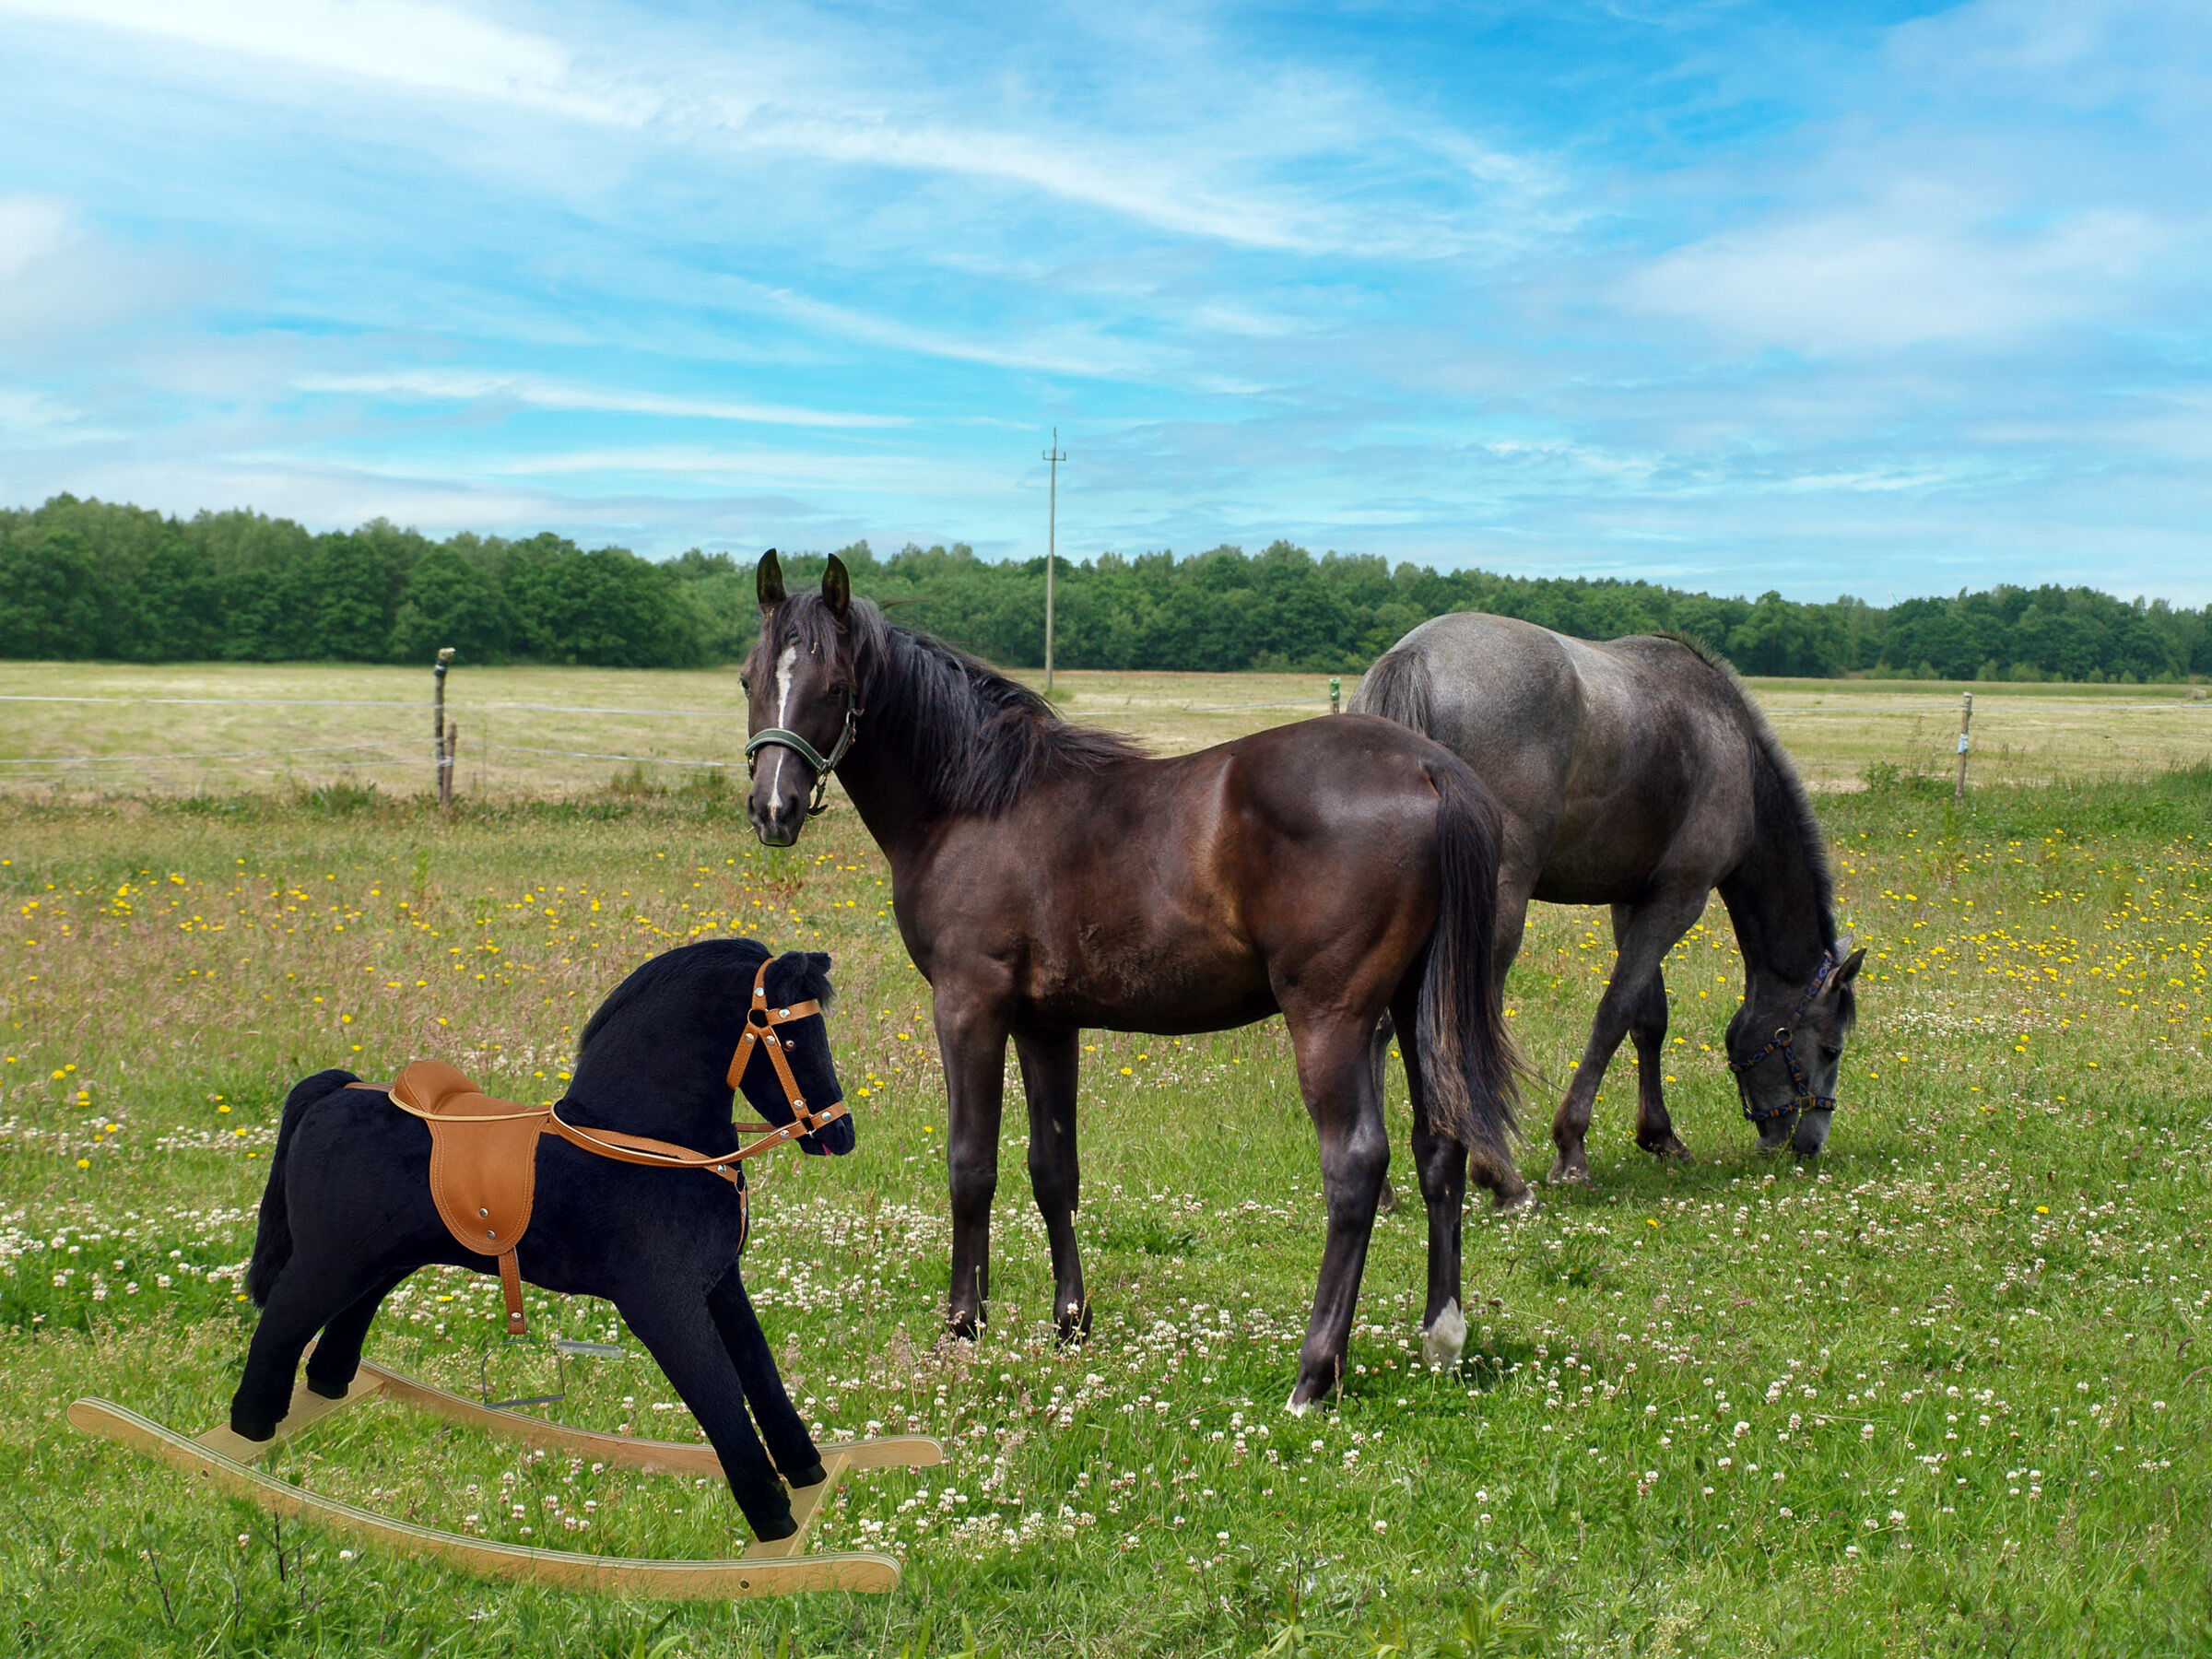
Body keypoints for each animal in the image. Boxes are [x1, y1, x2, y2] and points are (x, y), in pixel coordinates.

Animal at [229, 938, 856, 1542]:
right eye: (791, 1037)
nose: (840, 1135)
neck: (646, 1141)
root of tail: (339, 1090)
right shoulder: (662, 1305)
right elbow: (720, 1395)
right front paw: (773, 1520)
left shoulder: (720, 1284)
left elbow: (760, 1370)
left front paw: (807, 1471)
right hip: (329, 1260)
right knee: (281, 1320)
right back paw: (250, 1429)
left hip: (382, 1260)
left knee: (347, 1317)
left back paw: (327, 1387)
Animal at [739, 551, 1521, 1409]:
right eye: (750, 678)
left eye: (835, 686)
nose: (772, 809)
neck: (976, 805)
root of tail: (1429, 767)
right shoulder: (1046, 1022)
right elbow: (1053, 1169)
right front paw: (1070, 1324)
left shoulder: (970, 1005)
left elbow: (970, 1165)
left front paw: (962, 1327)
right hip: (1417, 1007)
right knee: (1440, 1146)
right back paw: (1441, 1338)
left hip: (1333, 1017)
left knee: (1355, 1167)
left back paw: (1314, 1375)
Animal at [1353, 613, 1865, 1181]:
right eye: (1830, 1049)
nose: (1808, 1144)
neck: (1737, 751)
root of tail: (1416, 657)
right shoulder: (1679, 899)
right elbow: (1614, 1013)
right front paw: (1571, 1147)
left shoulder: (1633, 900)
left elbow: (1649, 1019)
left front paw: (1661, 1135)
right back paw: (1499, 1174)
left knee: (1377, 1025)